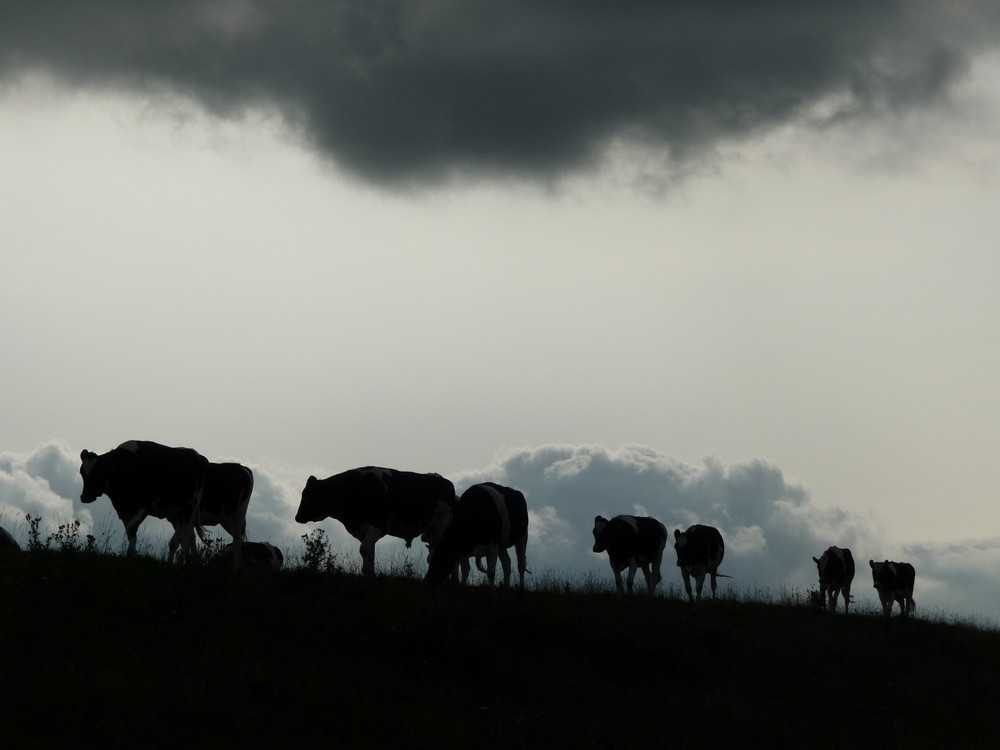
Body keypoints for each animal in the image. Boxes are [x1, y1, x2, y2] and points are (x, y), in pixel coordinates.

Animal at [79, 444, 209, 560]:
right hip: (178, 511)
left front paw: (131, 554)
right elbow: (130, 534)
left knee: (187, 536)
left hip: (191, 507)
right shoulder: (124, 511)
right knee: (181, 538)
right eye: (82, 472)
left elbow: (132, 529)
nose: (85, 497)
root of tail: (198, 457)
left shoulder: (142, 507)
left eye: (98, 472)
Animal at [294, 468, 456, 580]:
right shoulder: (364, 530)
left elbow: (364, 549)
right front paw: (370, 575)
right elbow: (369, 551)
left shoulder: (377, 525)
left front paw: (369, 573)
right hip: (431, 530)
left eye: (310, 494)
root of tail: (445, 481)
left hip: (441, 526)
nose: (297, 517)